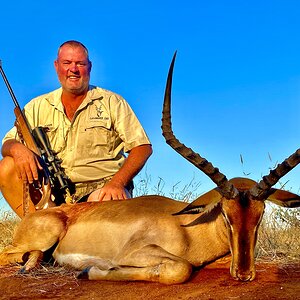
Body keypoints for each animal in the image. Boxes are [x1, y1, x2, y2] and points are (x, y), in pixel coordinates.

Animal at [0, 52, 300, 284]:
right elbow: (181, 268)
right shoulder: (135, 254)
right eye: (226, 215)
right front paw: (88, 270)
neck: (186, 228)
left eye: (260, 216)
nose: (244, 274)